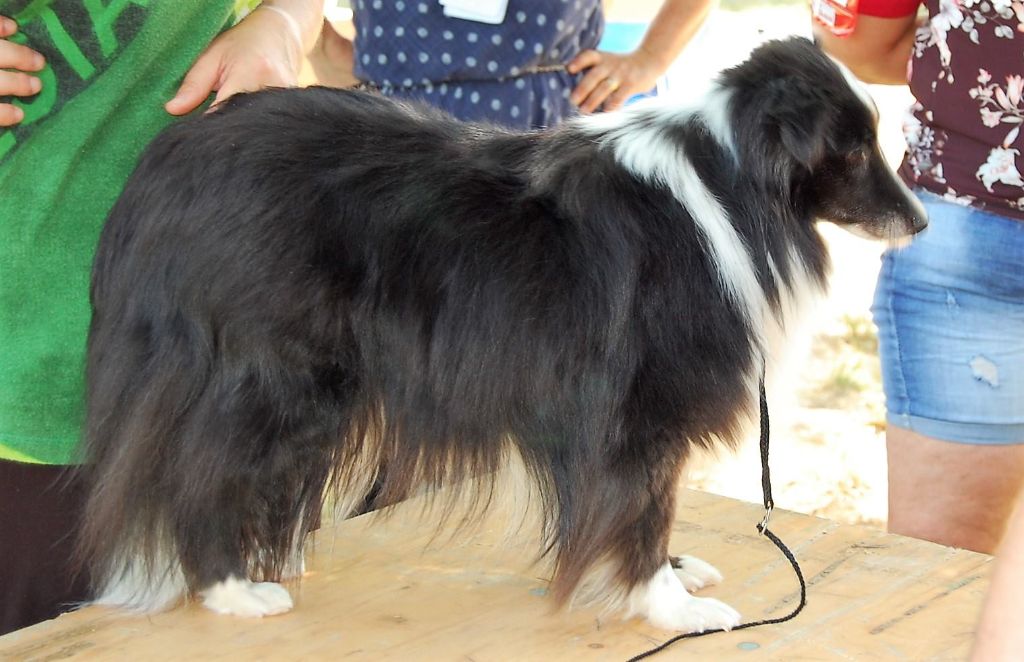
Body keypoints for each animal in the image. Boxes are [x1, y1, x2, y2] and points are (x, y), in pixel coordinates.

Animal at [79, 38, 925, 635]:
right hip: (274, 367)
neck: (729, 178)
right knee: (202, 473)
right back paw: (233, 590)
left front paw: (674, 574)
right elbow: (646, 502)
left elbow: (640, 505)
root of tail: (165, 165)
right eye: (852, 149)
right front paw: (669, 605)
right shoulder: (637, 404)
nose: (919, 221)